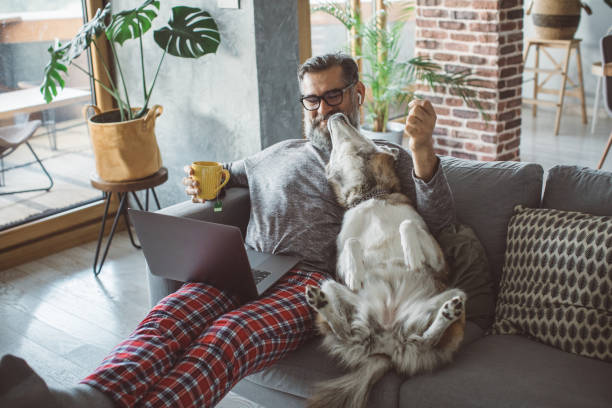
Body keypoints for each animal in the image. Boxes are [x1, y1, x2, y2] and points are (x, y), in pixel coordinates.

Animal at [304, 112, 466, 408]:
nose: (337, 115)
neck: (371, 197)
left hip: (455, 295)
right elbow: (352, 245)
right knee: (343, 329)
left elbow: (406, 225)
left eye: (360, 131)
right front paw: (356, 272)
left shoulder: (439, 260)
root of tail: (386, 348)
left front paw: (412, 255)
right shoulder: (338, 263)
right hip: (330, 285)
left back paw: (447, 314)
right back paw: (321, 303)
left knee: (427, 338)